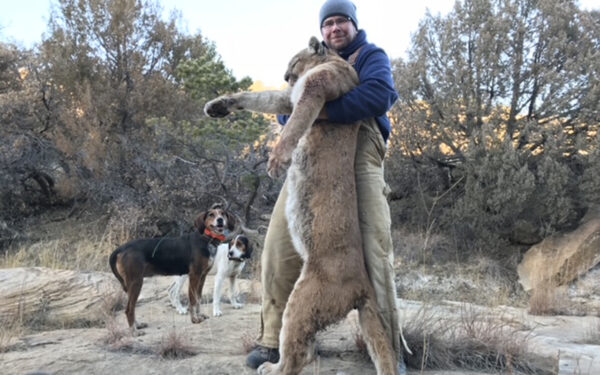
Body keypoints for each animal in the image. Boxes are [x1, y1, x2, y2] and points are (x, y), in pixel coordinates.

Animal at [109, 206, 236, 334]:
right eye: (211, 215)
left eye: (222, 214)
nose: (220, 220)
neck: (206, 238)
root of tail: (121, 248)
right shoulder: (194, 275)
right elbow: (192, 299)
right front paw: (194, 319)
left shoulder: (202, 276)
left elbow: (198, 298)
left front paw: (199, 315)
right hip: (136, 282)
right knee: (129, 309)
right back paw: (134, 331)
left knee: (132, 307)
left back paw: (138, 325)